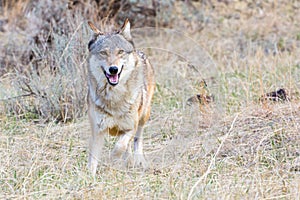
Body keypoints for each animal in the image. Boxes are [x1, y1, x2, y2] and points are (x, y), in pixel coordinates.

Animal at [85, 18, 154, 175]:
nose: (113, 69)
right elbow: (93, 159)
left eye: (120, 52)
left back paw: (138, 161)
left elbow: (119, 147)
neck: (114, 98)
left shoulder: (130, 127)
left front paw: (112, 161)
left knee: (137, 140)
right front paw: (89, 177)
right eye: (103, 53)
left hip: (143, 116)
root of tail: (139, 52)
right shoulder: (98, 131)